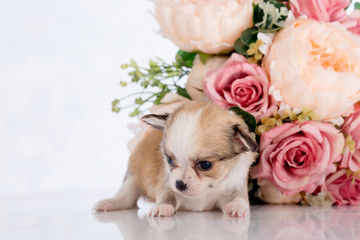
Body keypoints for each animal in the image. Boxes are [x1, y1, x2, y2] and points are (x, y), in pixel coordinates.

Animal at [94, 101, 258, 218]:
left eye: (205, 165)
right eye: (170, 161)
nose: (179, 184)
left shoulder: (235, 185)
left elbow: (238, 198)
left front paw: (237, 207)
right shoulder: (167, 181)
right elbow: (168, 195)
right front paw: (163, 207)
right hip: (133, 176)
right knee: (126, 195)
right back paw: (108, 203)